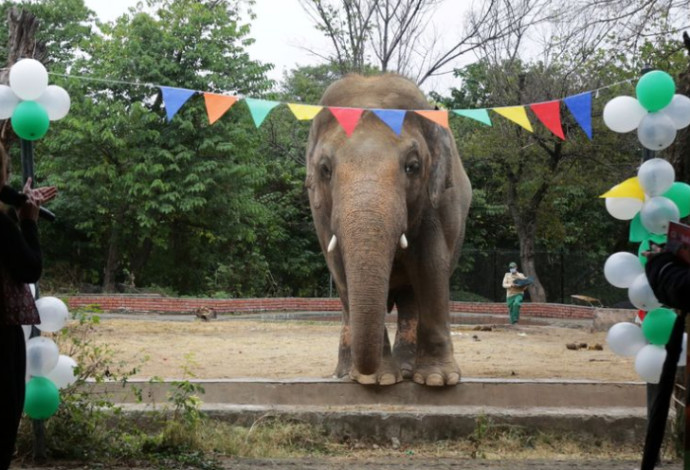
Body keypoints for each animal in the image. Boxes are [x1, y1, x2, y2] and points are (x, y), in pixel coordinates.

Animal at [304, 73, 470, 386]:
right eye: (325, 169)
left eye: (412, 166)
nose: (367, 372)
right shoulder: (320, 214)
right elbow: (340, 269)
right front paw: (375, 380)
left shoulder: (439, 202)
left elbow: (430, 265)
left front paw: (437, 380)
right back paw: (345, 374)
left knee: (411, 299)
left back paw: (407, 370)